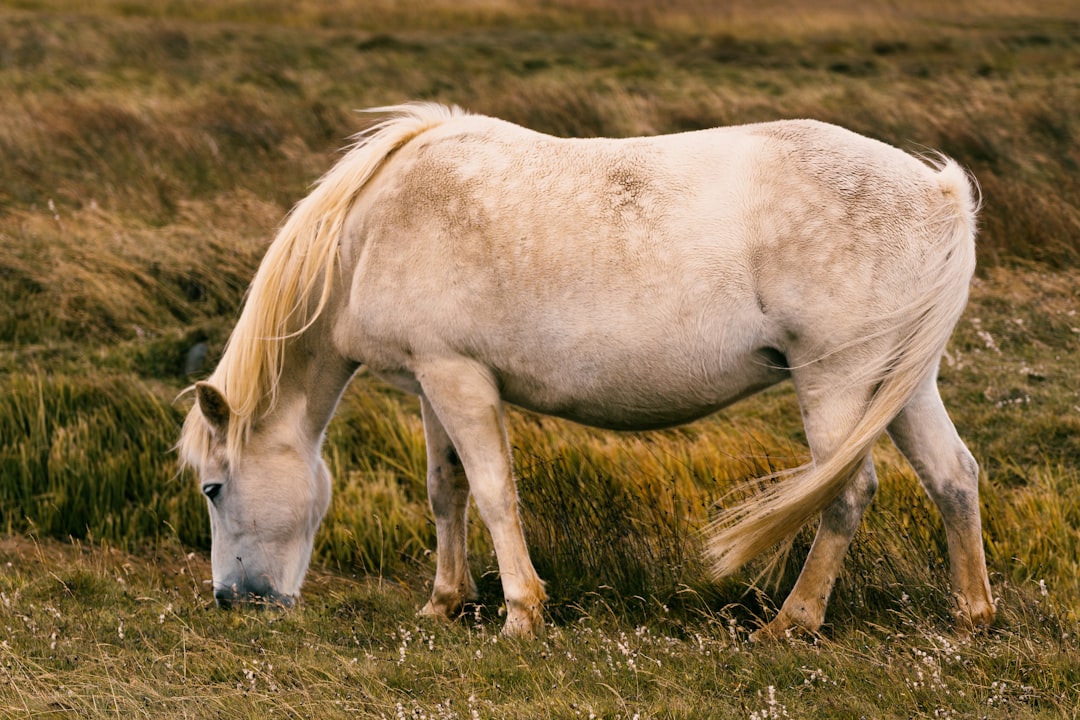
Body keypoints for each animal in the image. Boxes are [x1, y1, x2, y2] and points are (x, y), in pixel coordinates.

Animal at [178, 102, 995, 639]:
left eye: (214, 488)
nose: (232, 600)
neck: (374, 228)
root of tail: (937, 191)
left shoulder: (458, 379)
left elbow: (493, 492)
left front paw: (520, 614)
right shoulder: (432, 385)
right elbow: (447, 492)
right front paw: (443, 602)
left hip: (836, 380)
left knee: (848, 492)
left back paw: (791, 623)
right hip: (903, 385)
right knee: (953, 476)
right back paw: (971, 612)